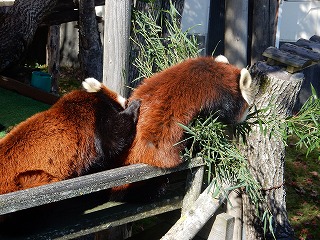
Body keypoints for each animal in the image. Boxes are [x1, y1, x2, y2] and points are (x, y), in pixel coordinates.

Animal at [0, 79, 140, 195]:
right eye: (125, 102)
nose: (128, 101)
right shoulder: (95, 121)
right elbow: (115, 139)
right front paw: (135, 106)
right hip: (32, 178)